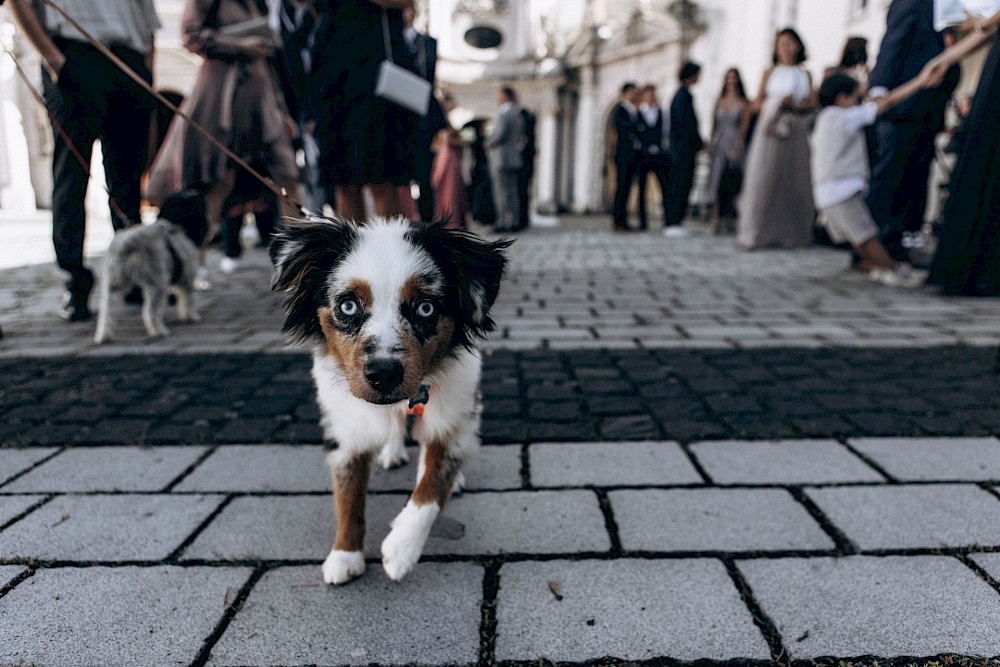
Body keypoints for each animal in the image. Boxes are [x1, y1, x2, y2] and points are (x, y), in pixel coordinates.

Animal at [94, 189, 207, 342]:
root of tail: (127, 245)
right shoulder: (186, 279)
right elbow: (187, 300)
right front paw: (191, 317)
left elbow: (164, 304)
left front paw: (164, 316)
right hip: (155, 282)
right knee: (150, 311)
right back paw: (159, 331)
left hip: (113, 284)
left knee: (107, 312)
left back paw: (104, 335)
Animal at [270, 217, 508, 580]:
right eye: (348, 306)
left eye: (425, 308)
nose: (383, 373)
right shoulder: (344, 430)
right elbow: (348, 493)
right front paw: (344, 555)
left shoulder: (455, 418)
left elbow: (432, 486)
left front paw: (401, 550)